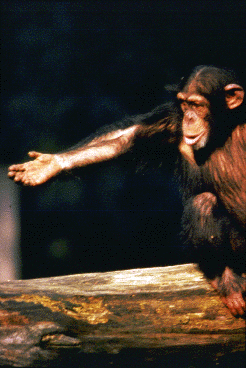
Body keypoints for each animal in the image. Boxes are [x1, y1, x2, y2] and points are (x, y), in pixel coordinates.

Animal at [8, 65, 246, 316]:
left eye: (198, 104)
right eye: (184, 104)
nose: (189, 117)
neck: (226, 128)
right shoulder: (171, 121)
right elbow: (126, 138)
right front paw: (49, 165)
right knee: (203, 203)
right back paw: (226, 279)